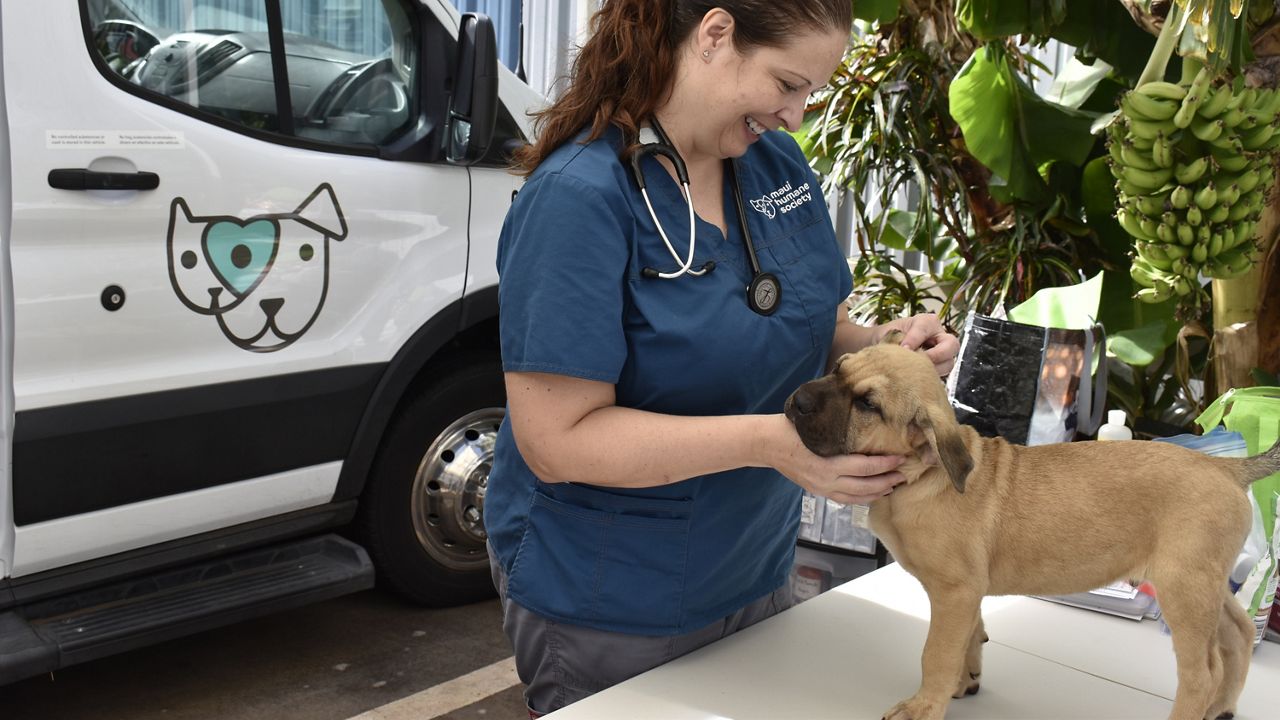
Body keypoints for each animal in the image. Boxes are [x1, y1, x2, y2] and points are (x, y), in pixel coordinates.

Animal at [778, 330, 1280, 717]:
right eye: (838, 366)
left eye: (867, 404)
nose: (797, 401)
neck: (924, 474)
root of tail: (1226, 468)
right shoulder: (969, 591)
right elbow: (969, 636)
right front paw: (965, 681)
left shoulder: (955, 591)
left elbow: (936, 653)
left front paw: (924, 706)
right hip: (1204, 586)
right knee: (1238, 634)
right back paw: (1222, 707)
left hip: (1184, 589)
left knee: (1202, 673)